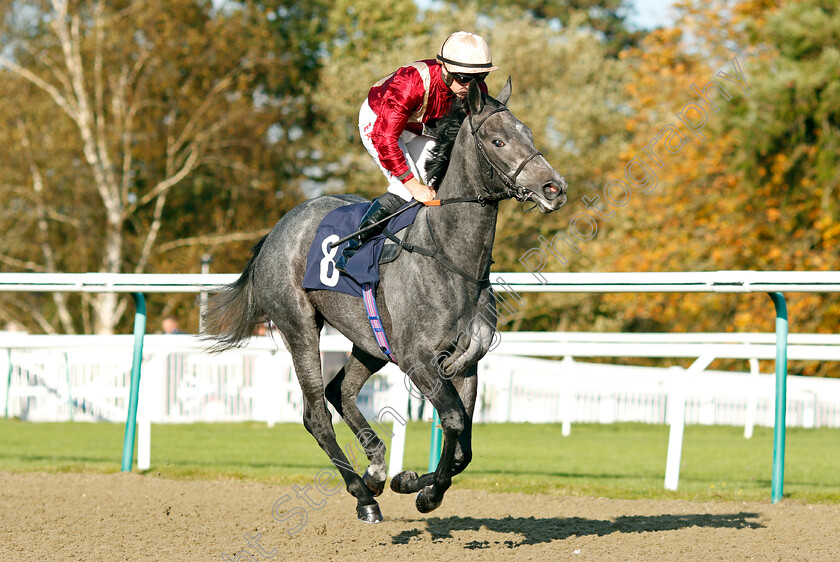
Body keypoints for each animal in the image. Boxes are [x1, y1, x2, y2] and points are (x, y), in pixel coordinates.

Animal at [203, 80, 568, 524]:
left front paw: (405, 480)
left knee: (339, 391)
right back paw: (363, 495)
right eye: (498, 140)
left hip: (370, 342)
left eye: (528, 133)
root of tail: (276, 230)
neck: (450, 258)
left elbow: (463, 446)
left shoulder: (467, 363)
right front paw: (427, 494)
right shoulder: (416, 359)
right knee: (316, 414)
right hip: (299, 326)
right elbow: (453, 421)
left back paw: (376, 468)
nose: (554, 188)